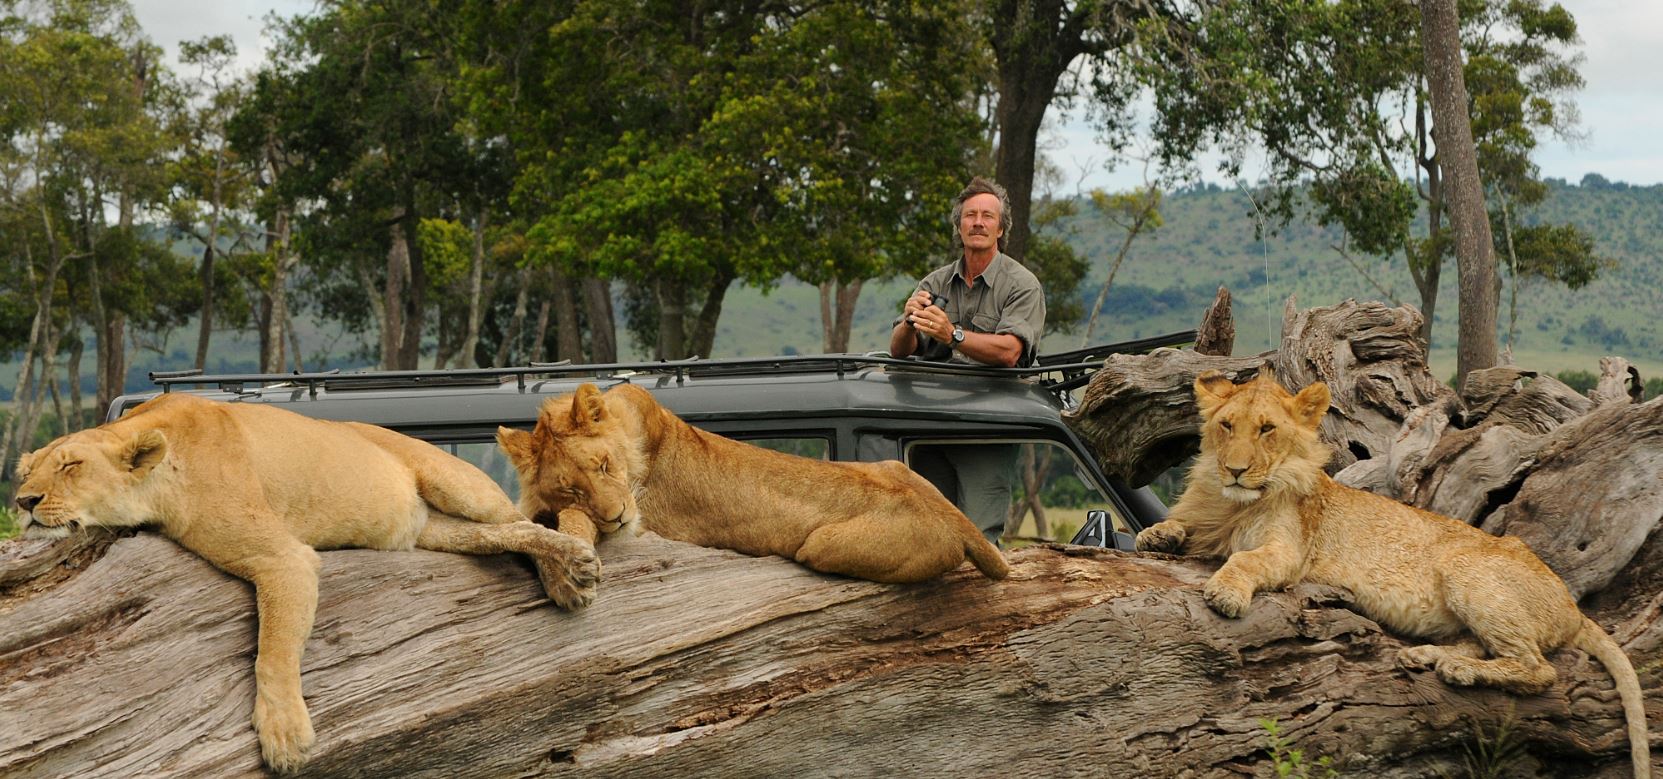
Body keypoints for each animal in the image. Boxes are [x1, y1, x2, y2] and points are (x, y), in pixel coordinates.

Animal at [11, 393, 601, 774]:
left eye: (70, 465)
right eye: (27, 472)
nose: (22, 501)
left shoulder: (283, 558)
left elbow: (272, 650)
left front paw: (284, 736)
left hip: (451, 480)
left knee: (520, 519)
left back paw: (572, 571)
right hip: (436, 532)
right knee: (501, 533)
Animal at [495, 382, 1009, 584]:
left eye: (603, 465)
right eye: (572, 488)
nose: (617, 516)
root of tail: (961, 525)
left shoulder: (650, 523)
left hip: (821, 546)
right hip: (894, 467)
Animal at [1134, 369, 1650, 777]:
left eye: (1267, 430)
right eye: (1226, 426)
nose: (1236, 470)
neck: (1231, 503)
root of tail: (1572, 607)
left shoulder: (1290, 552)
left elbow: (1246, 559)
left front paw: (1225, 591)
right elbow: (1177, 526)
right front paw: (1158, 536)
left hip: (1467, 569)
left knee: (1538, 668)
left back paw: (1460, 669)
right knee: (1487, 644)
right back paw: (1425, 656)